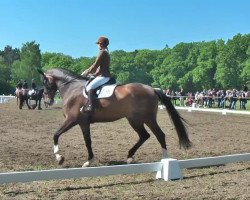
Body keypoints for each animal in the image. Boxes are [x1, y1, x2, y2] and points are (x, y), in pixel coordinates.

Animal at [37, 68, 191, 166]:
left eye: (45, 82)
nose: (47, 101)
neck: (72, 88)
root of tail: (152, 89)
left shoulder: (72, 119)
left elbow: (56, 135)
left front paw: (59, 157)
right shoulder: (83, 123)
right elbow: (88, 141)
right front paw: (89, 160)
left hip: (148, 119)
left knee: (159, 135)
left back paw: (165, 159)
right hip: (134, 120)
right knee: (144, 136)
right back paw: (129, 156)